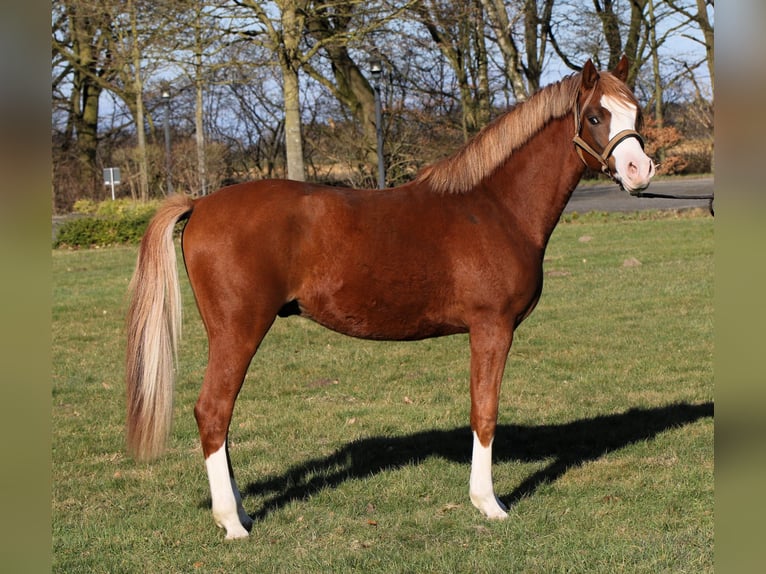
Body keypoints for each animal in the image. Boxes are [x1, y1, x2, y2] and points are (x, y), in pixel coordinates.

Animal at [126, 57, 656, 540]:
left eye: (636, 111)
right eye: (595, 116)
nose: (640, 170)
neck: (495, 207)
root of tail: (200, 204)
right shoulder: (492, 328)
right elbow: (484, 412)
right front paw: (488, 504)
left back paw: (241, 513)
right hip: (238, 329)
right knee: (213, 411)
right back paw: (233, 524)